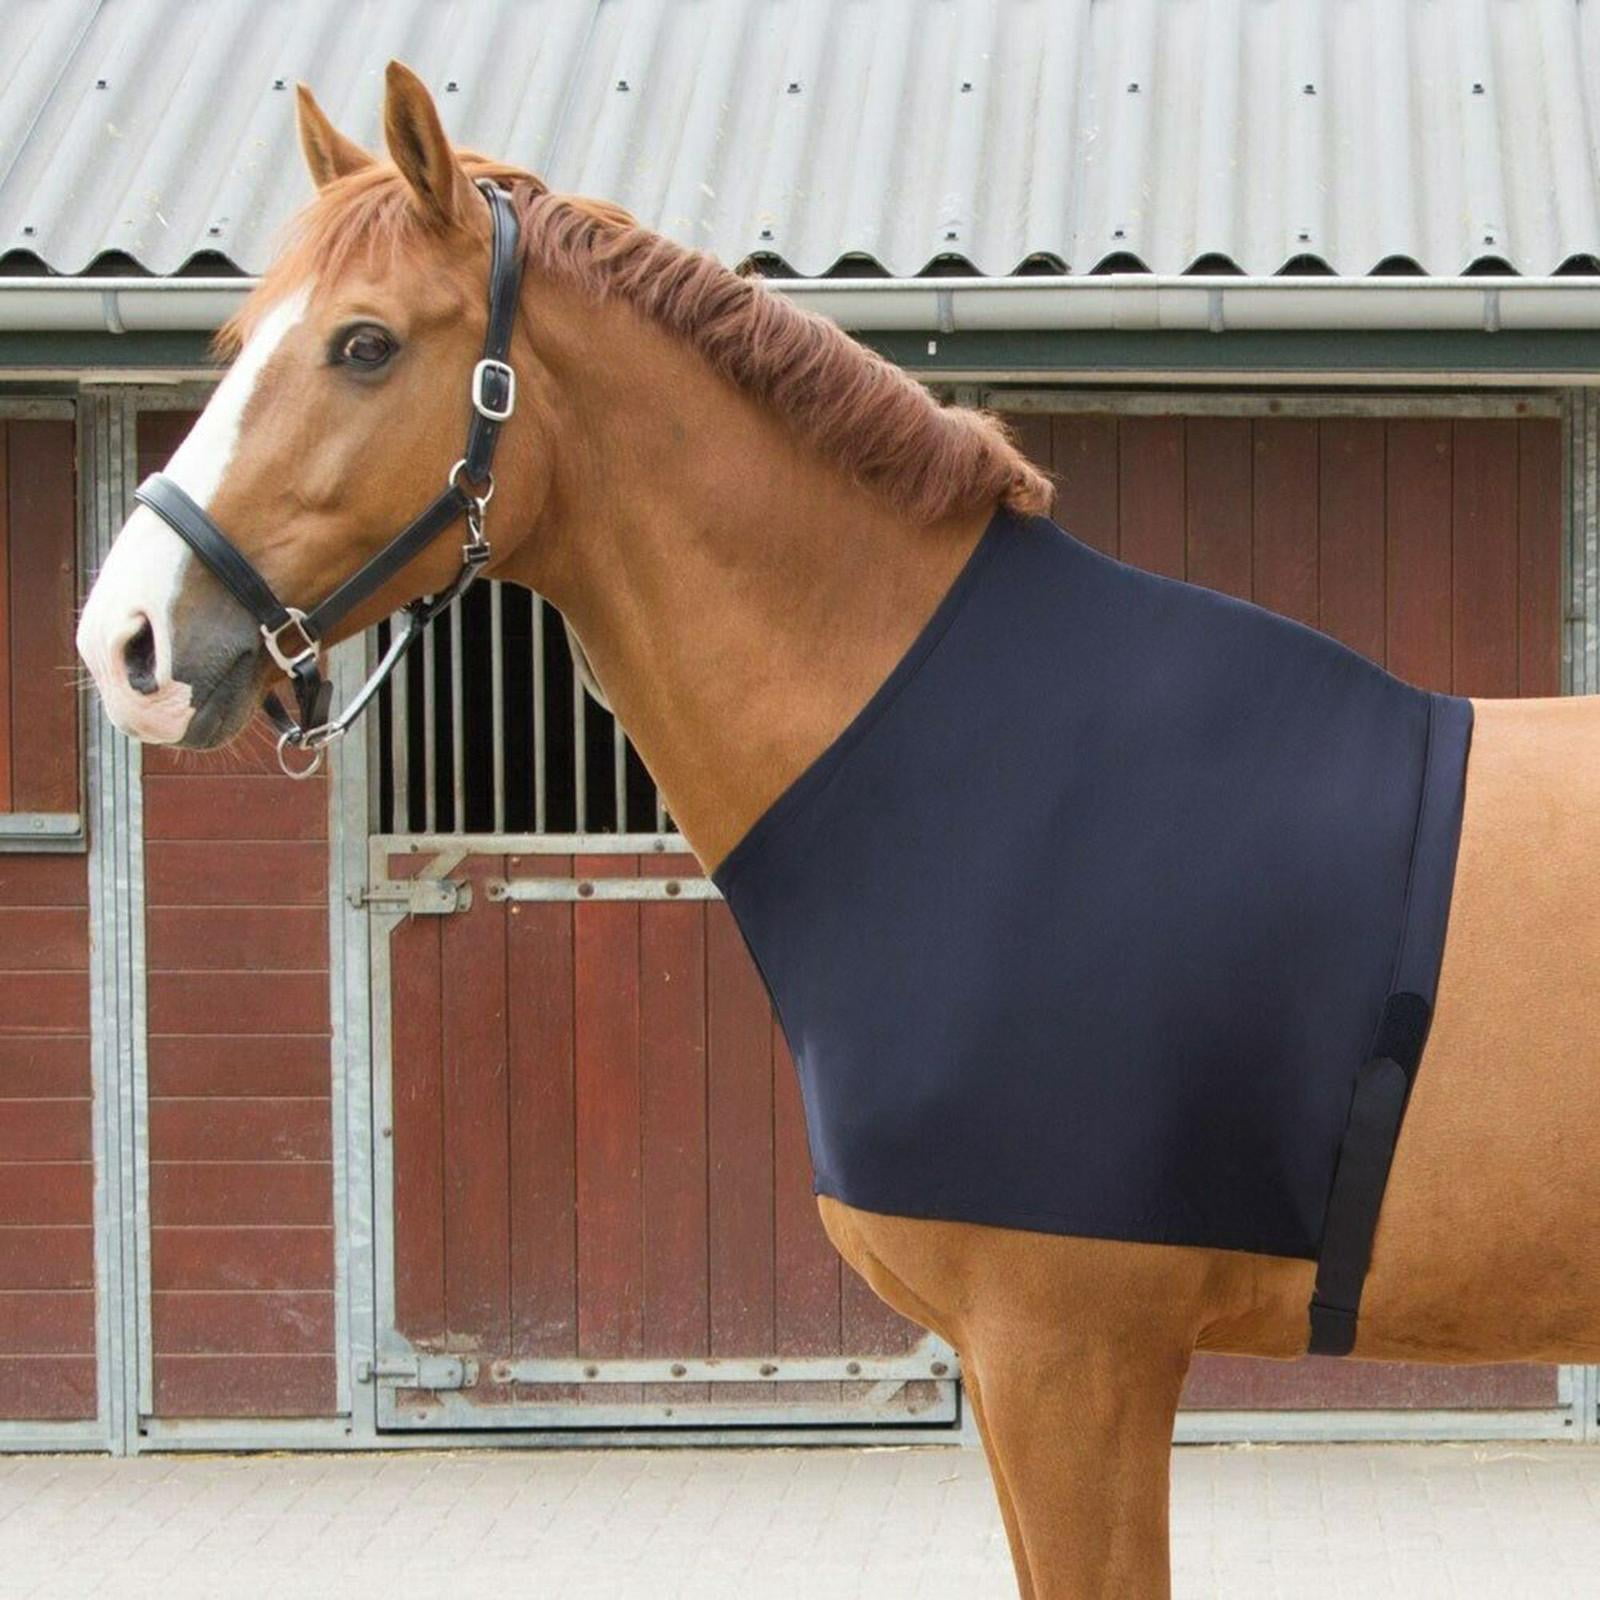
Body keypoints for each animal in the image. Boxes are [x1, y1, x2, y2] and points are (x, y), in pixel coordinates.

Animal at [75, 63, 1600, 1600]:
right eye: (237, 337)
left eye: (366, 344)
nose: (126, 641)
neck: (983, 774)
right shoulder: (1031, 1371)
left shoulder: (1071, 1359)